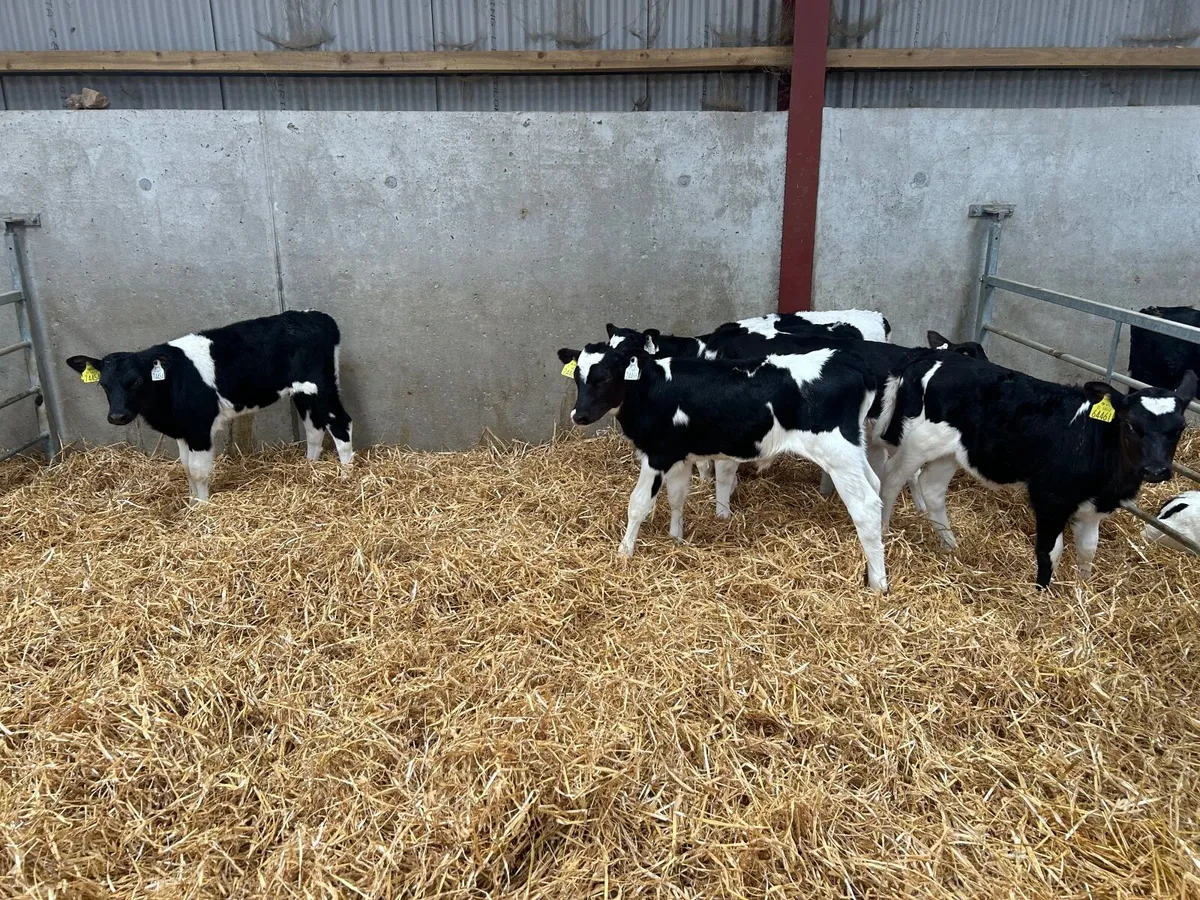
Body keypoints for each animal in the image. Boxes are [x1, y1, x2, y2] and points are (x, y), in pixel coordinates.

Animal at [66, 310, 353, 501]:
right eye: (103, 384)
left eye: (136, 381)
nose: (117, 416)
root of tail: (317, 316)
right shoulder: (182, 428)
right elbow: (185, 467)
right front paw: (192, 503)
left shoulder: (199, 427)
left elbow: (198, 471)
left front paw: (203, 507)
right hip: (304, 392)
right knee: (314, 429)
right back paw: (309, 468)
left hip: (321, 387)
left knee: (341, 424)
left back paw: (346, 477)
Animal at [556, 339, 889, 592]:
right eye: (578, 377)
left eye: (606, 377)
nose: (579, 416)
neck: (652, 389)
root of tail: (851, 362)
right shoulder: (679, 454)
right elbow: (677, 497)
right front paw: (676, 538)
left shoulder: (657, 454)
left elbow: (637, 504)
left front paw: (624, 552)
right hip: (852, 449)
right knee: (876, 483)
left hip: (837, 452)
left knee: (865, 505)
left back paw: (878, 582)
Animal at [876, 352, 1196, 588]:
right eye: (1129, 425)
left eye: (1179, 428)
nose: (1156, 469)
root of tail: (930, 358)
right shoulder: (1050, 499)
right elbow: (1050, 551)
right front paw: (1042, 593)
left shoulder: (1093, 509)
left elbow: (1088, 549)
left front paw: (1083, 590)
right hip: (916, 443)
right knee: (891, 479)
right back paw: (885, 530)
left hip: (950, 453)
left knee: (932, 489)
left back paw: (951, 545)